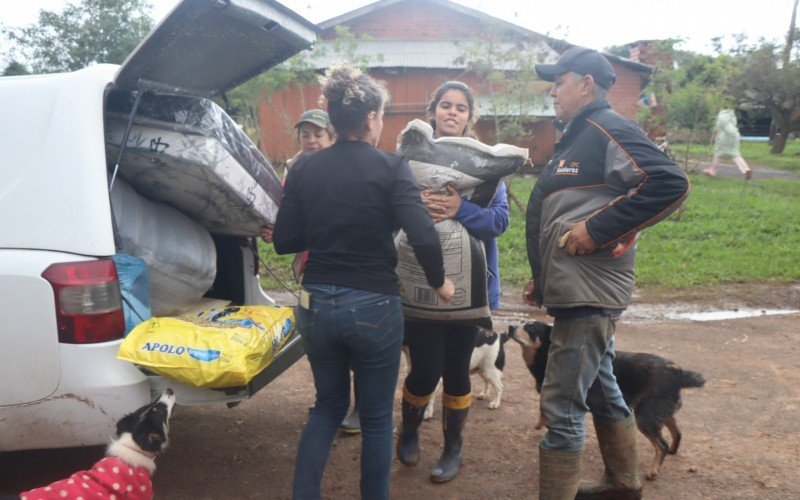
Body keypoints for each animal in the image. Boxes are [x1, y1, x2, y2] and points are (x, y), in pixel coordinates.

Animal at [510, 322, 704, 478]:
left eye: (531, 327)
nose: (510, 327)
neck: (547, 353)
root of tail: (678, 372)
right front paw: (539, 423)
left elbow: (546, 409)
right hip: (658, 410)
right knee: (677, 432)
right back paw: (672, 450)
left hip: (645, 417)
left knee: (661, 444)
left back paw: (653, 470)